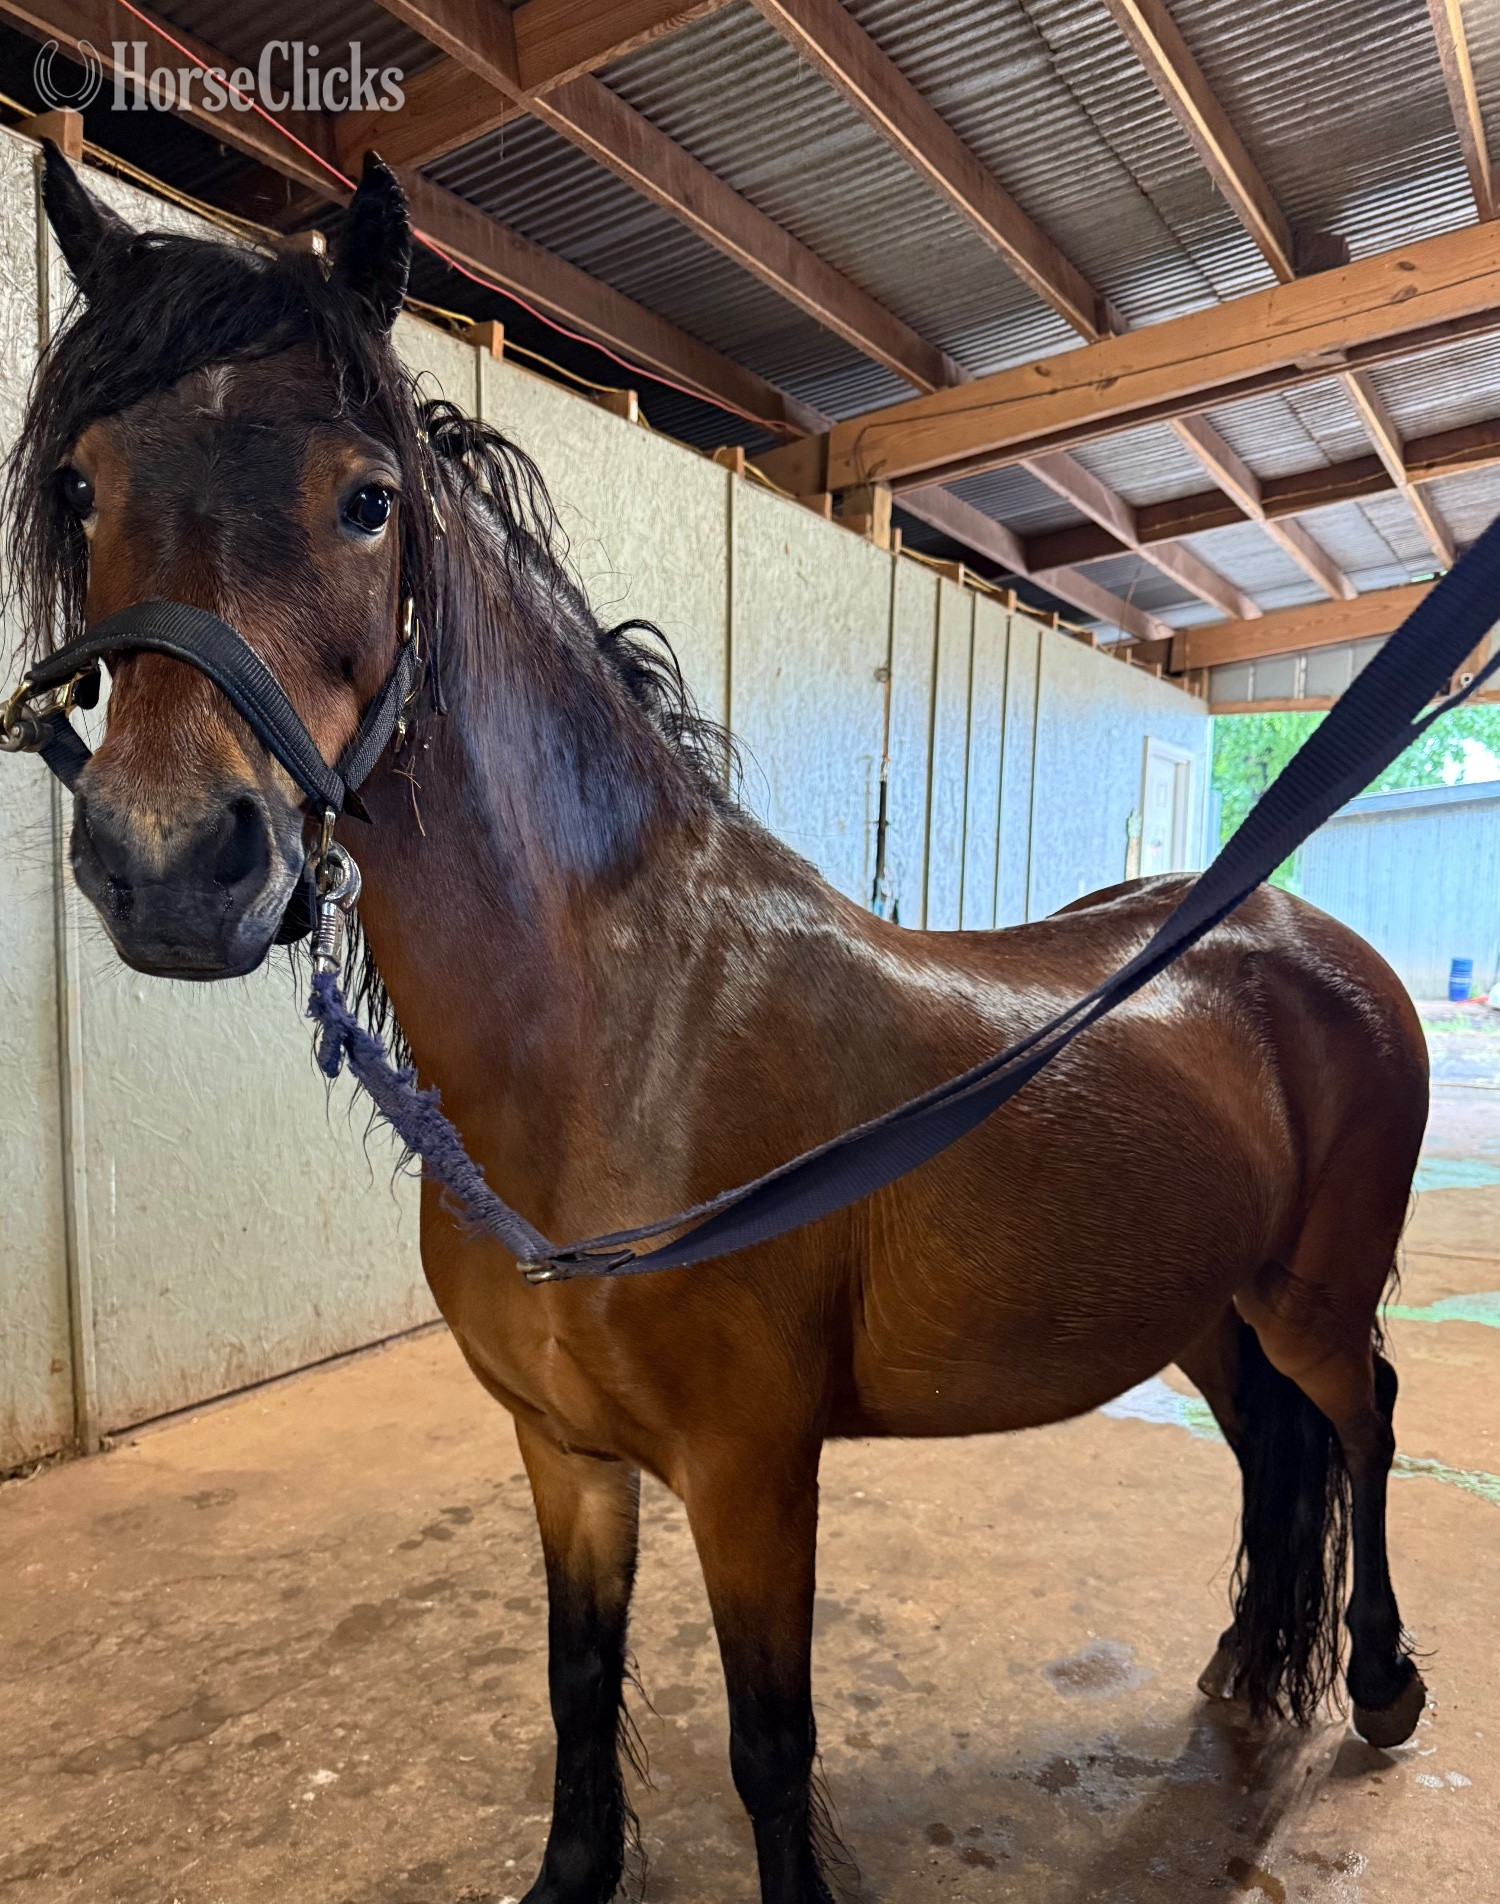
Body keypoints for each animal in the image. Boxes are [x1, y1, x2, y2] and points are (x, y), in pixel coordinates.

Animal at [10, 148, 1431, 1904]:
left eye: (367, 498)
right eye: (82, 487)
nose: (168, 864)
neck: (625, 1047)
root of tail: (1311, 943)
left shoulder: (755, 1474)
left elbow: (771, 1744)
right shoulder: (567, 1459)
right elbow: (578, 1682)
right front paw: (572, 1873)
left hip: (1312, 1296)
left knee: (1361, 1423)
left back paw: (1379, 1683)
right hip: (1204, 1302)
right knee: (1269, 1450)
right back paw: (1248, 1662)